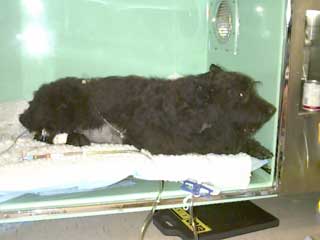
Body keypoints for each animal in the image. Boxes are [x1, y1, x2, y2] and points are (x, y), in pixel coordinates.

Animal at [19, 65, 276, 159]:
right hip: (65, 110)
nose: (273, 109)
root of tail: (31, 104)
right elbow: (224, 144)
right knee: (43, 135)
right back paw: (75, 139)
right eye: (241, 94)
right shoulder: (170, 143)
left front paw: (258, 147)